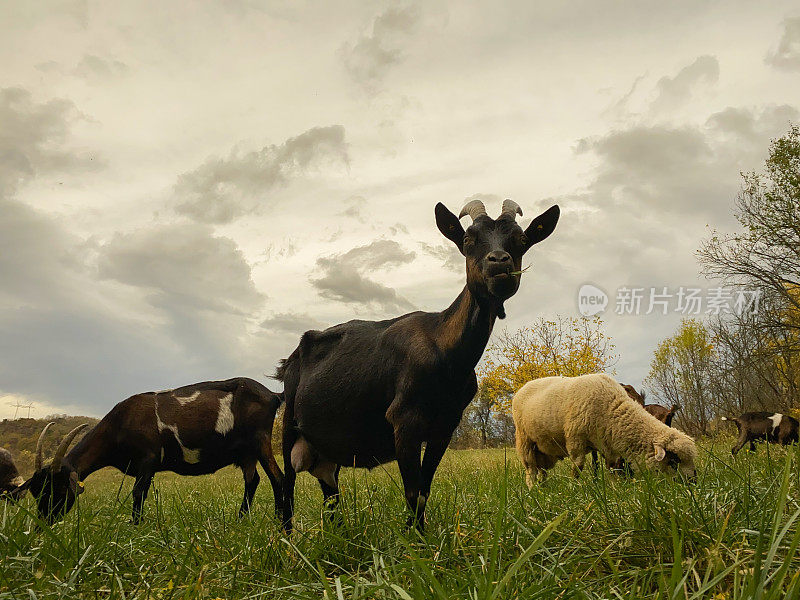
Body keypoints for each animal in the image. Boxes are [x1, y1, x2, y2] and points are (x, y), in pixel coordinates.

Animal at [18, 380, 288, 524]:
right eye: (36, 492)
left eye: (59, 489)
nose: (43, 524)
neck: (119, 425)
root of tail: (273, 395)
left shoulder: (147, 458)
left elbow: (138, 493)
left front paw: (134, 527)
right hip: (246, 454)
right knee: (253, 480)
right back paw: (241, 520)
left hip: (260, 440)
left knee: (278, 478)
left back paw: (280, 524)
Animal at [278, 199, 560, 532]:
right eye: (468, 240)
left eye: (521, 239)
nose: (499, 262)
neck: (444, 348)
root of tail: (291, 358)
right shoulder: (404, 419)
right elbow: (413, 492)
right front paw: (414, 541)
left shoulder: (445, 424)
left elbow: (424, 489)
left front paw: (421, 536)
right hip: (288, 425)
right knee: (286, 486)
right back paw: (285, 539)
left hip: (326, 449)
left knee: (331, 494)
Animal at [516, 372, 696, 486]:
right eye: (674, 461)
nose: (693, 482)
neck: (612, 408)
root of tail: (524, 386)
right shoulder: (575, 439)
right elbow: (577, 468)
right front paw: (576, 487)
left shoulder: (607, 443)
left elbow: (612, 469)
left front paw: (614, 488)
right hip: (525, 441)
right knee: (531, 470)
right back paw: (534, 491)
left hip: (544, 451)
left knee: (542, 471)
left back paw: (544, 488)